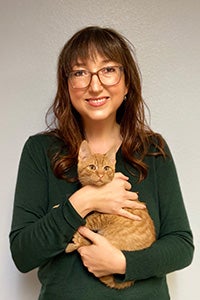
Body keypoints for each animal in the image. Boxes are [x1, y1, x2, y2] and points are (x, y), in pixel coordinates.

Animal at [65, 141, 156, 288]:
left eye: (106, 168)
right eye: (92, 167)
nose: (101, 174)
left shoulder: (104, 216)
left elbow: (87, 220)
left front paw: (77, 235)